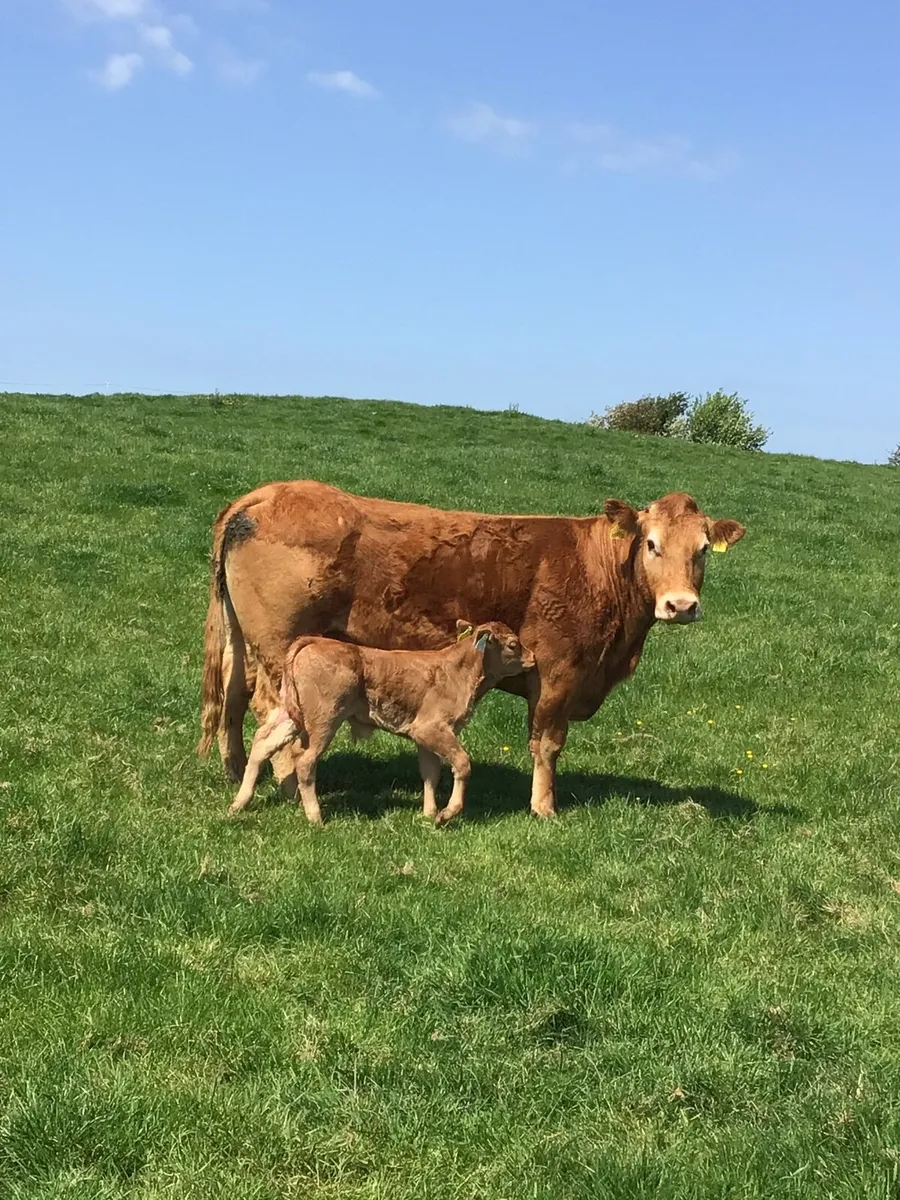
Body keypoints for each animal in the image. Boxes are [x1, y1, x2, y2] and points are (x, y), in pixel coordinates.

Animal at [228, 620, 535, 824]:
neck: (459, 672)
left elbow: (430, 773)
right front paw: (447, 813)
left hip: (291, 714)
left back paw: (239, 803)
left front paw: (429, 813)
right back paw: (315, 816)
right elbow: (462, 763)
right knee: (304, 761)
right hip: (325, 718)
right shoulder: (433, 728)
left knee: (262, 743)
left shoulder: (421, 734)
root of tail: (315, 641)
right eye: (513, 644)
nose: (533, 657)